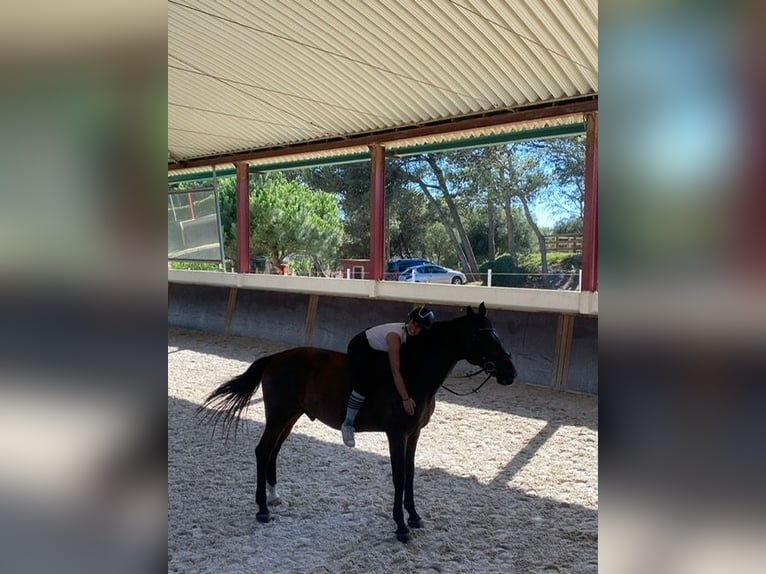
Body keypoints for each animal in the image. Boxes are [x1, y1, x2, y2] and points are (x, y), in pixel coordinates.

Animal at [201, 304, 520, 544]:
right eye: (482, 337)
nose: (511, 373)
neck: (413, 372)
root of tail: (274, 358)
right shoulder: (396, 434)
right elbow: (399, 477)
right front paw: (401, 526)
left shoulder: (414, 434)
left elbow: (411, 474)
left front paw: (415, 517)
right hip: (279, 416)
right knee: (262, 451)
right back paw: (262, 509)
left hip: (289, 418)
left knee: (272, 453)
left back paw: (274, 497)